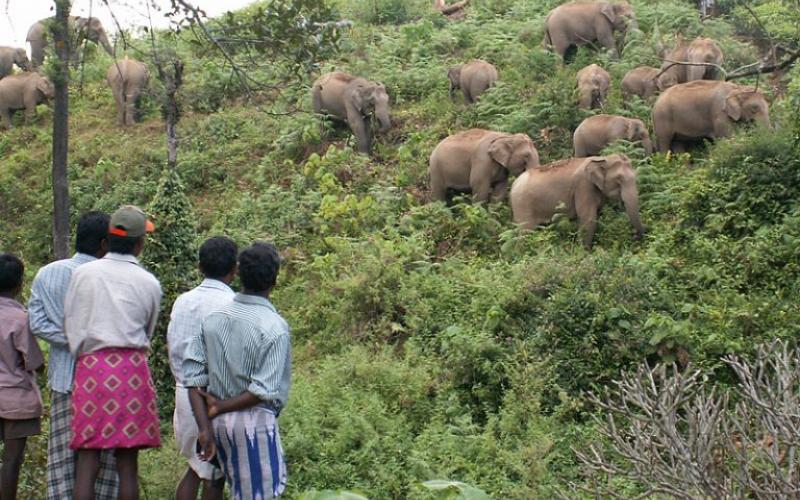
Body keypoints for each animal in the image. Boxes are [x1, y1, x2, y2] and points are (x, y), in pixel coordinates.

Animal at [510, 152, 648, 246]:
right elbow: (589, 219)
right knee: (526, 232)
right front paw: (585, 253)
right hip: (522, 204)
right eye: (619, 180)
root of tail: (513, 184)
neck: (603, 159)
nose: (635, 235)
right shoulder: (583, 186)